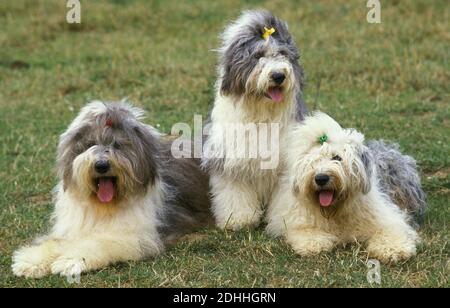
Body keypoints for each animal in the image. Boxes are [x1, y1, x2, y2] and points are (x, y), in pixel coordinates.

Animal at [11, 101, 213, 280]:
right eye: (90, 144)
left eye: (117, 145)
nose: (101, 165)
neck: (103, 206)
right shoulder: (73, 227)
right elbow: (57, 242)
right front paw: (32, 261)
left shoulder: (137, 236)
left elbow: (99, 242)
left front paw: (70, 260)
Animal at [202, 9, 308, 230]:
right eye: (258, 56)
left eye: (282, 54)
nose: (278, 75)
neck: (262, 113)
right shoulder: (230, 160)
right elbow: (234, 192)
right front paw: (238, 219)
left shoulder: (285, 164)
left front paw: (284, 221)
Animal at [268, 112, 426, 262]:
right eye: (311, 161)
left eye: (337, 157)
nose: (321, 178)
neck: (334, 211)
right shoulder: (294, 219)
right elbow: (304, 230)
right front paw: (314, 243)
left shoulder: (384, 216)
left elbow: (390, 229)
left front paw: (394, 249)